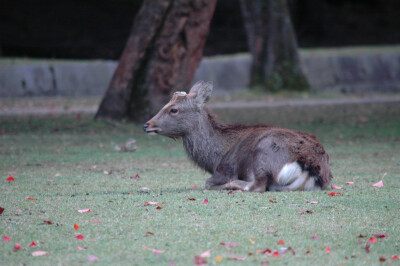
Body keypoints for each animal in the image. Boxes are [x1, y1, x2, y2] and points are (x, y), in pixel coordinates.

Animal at [142, 81, 332, 191]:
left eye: (173, 109)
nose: (146, 125)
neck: (214, 158)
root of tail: (313, 168)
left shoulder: (225, 169)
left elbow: (208, 182)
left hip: (264, 153)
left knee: (258, 186)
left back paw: (231, 185)